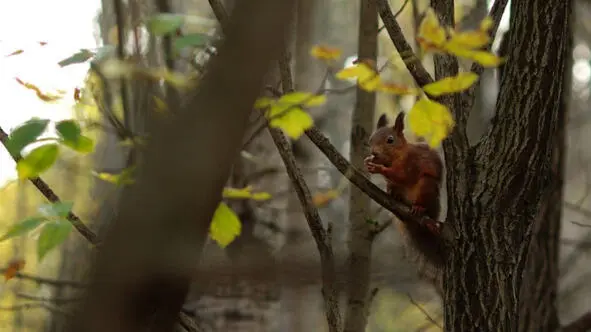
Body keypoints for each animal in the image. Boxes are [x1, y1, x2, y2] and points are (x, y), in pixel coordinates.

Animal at [366, 112, 448, 294]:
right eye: (370, 139)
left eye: (390, 140)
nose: (374, 152)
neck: (397, 155)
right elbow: (392, 182)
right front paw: (369, 163)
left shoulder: (412, 164)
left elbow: (401, 176)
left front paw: (378, 169)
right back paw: (396, 196)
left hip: (427, 187)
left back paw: (419, 208)